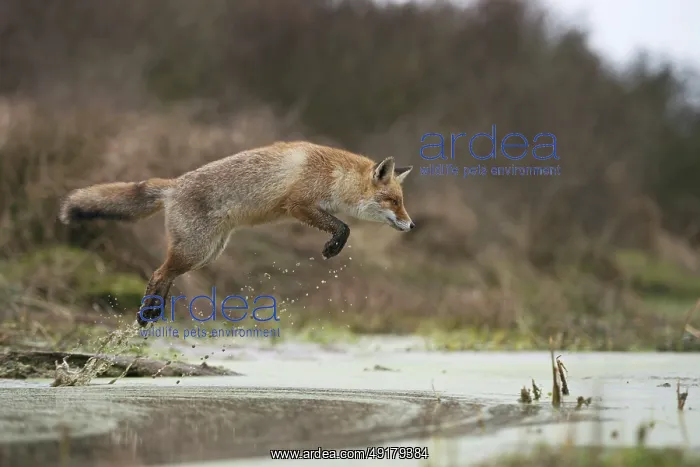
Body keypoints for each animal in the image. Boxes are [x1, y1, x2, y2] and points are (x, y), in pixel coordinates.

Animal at [59, 141, 415, 326]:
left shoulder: (305, 208)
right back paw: (146, 314)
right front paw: (332, 247)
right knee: (159, 273)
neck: (334, 175)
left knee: (165, 275)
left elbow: (342, 223)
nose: (411, 225)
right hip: (195, 250)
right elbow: (343, 226)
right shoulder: (299, 204)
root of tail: (174, 185)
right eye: (394, 202)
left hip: (205, 253)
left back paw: (155, 311)